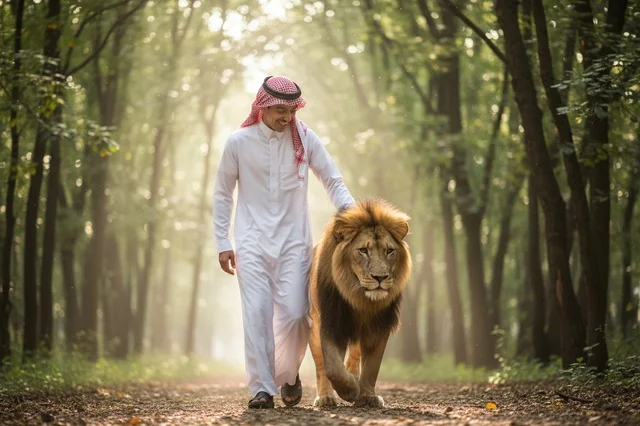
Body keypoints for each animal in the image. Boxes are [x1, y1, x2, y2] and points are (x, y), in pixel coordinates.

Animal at [308, 198, 412, 408]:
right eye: (363, 250)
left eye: (389, 251)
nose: (380, 277)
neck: (361, 300)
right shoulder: (332, 323)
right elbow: (332, 368)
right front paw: (349, 391)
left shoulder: (380, 326)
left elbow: (372, 367)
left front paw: (367, 396)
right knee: (320, 365)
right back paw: (326, 397)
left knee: (355, 355)